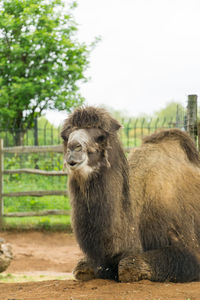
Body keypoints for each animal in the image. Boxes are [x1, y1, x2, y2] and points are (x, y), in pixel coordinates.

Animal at [60, 105, 200, 282]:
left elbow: (128, 266)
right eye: (65, 137)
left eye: (101, 136)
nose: (73, 148)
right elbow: (81, 268)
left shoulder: (190, 250)